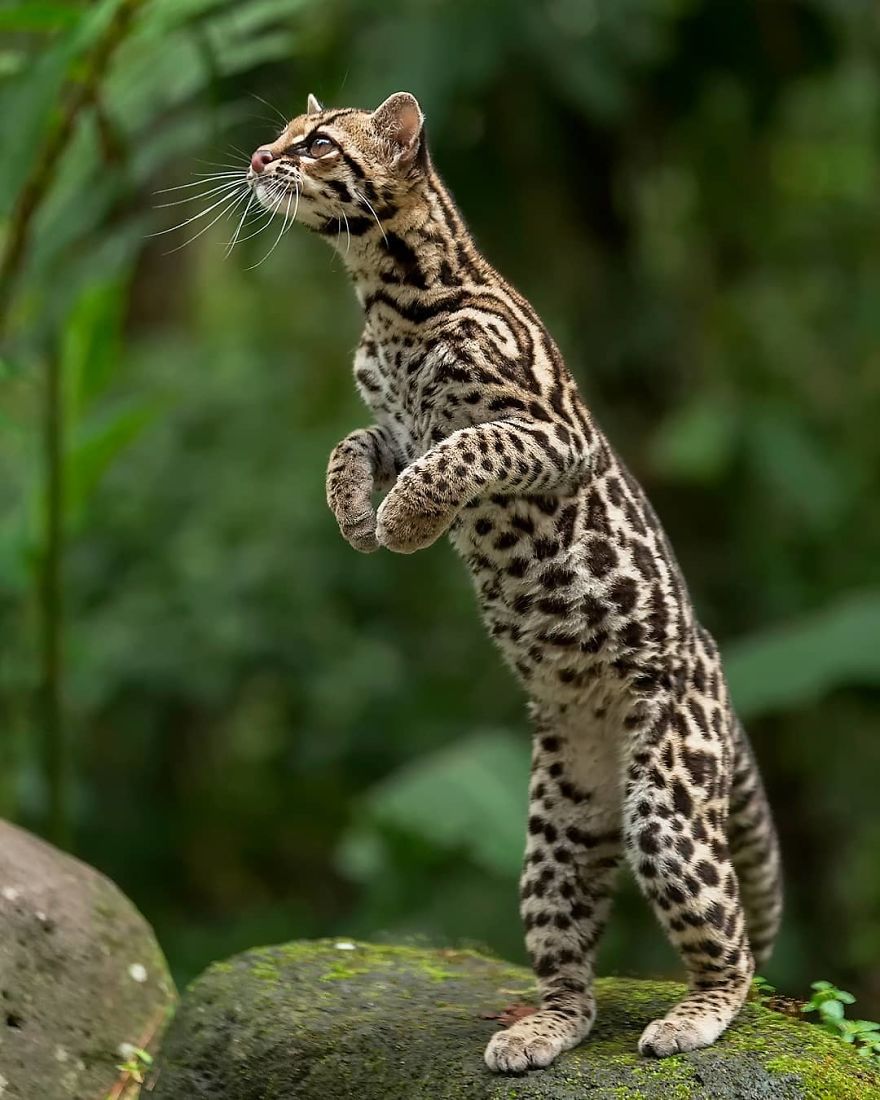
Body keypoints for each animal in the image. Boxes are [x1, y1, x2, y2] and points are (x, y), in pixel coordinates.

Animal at [242, 90, 783, 1069]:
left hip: (666, 801)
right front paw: (358, 518)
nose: (261, 157)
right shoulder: (393, 425)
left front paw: (403, 524)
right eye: (289, 134)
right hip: (557, 826)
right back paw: (540, 1027)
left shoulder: (547, 433)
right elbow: (351, 446)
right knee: (570, 961)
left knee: (732, 944)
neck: (385, 293)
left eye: (321, 141)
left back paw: (694, 1014)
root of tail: (717, 675)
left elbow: (461, 454)